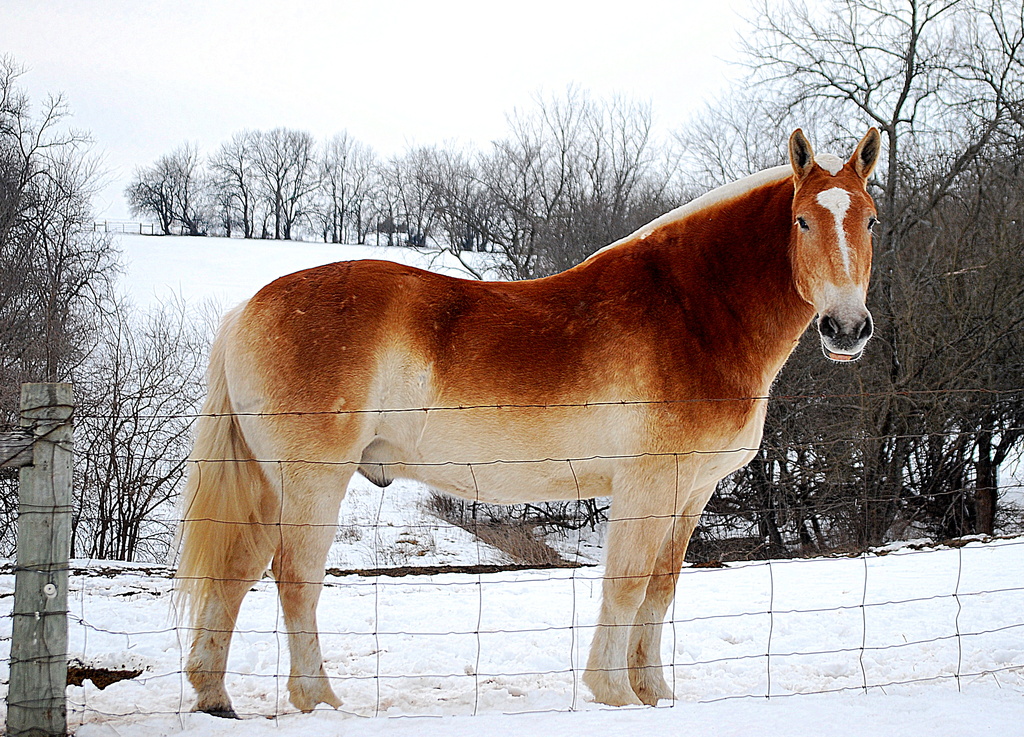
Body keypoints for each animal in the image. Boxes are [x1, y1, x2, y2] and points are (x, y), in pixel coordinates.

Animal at [176, 126, 880, 712]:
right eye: (802, 221)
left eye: (871, 220)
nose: (847, 329)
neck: (692, 312)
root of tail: (248, 309)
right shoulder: (648, 484)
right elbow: (626, 586)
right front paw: (614, 694)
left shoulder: (691, 490)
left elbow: (660, 588)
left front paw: (655, 694)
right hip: (313, 481)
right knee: (295, 580)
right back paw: (319, 701)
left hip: (270, 484)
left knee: (235, 574)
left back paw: (215, 699)